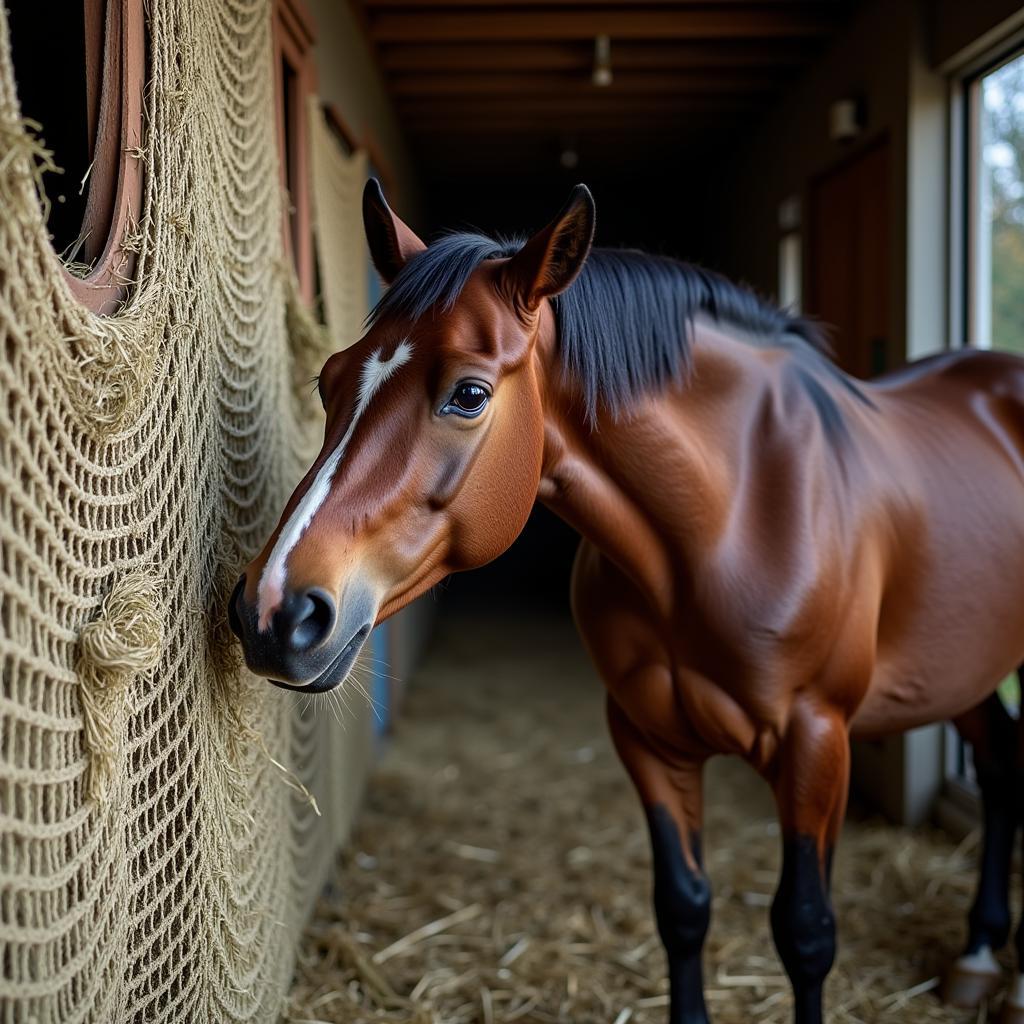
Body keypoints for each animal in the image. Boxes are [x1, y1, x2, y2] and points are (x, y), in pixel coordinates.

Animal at [230, 180, 1024, 1019]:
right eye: (330, 379)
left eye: (468, 394)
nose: (273, 610)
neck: (734, 518)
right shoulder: (647, 736)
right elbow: (683, 908)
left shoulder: (817, 742)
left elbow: (807, 932)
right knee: (1001, 763)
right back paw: (979, 956)